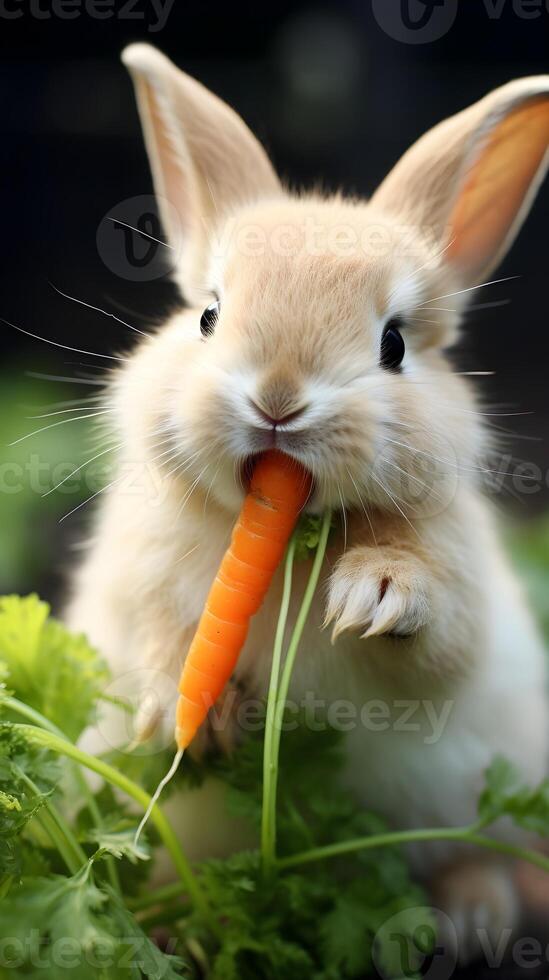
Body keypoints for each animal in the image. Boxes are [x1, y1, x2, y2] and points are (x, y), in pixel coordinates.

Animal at [66, 44, 548, 956]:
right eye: (208, 316)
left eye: (393, 345)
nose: (279, 399)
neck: (285, 532)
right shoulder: (134, 582)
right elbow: (157, 638)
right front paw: (188, 711)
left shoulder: (462, 596)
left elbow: (433, 633)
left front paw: (374, 594)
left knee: (467, 850)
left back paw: (475, 914)